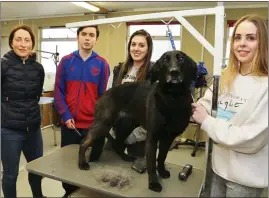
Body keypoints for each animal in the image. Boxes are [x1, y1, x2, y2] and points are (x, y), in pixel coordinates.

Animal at [78, 50, 196, 193]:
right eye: (165, 60)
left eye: (181, 58)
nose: (174, 72)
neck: (173, 98)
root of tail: (103, 95)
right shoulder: (152, 138)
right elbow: (151, 163)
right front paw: (153, 183)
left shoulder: (168, 138)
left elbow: (162, 157)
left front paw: (162, 172)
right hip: (103, 124)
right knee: (84, 142)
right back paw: (82, 163)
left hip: (126, 126)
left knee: (117, 143)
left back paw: (125, 157)